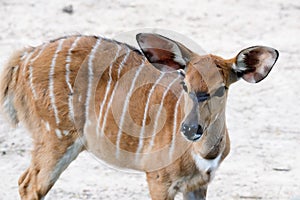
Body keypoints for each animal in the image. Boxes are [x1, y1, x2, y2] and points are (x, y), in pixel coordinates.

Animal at [0, 33, 278, 200]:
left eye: (221, 88)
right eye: (185, 83)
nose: (190, 128)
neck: (201, 153)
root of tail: (23, 59)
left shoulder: (198, 183)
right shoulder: (158, 178)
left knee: (25, 180)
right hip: (55, 136)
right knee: (30, 184)